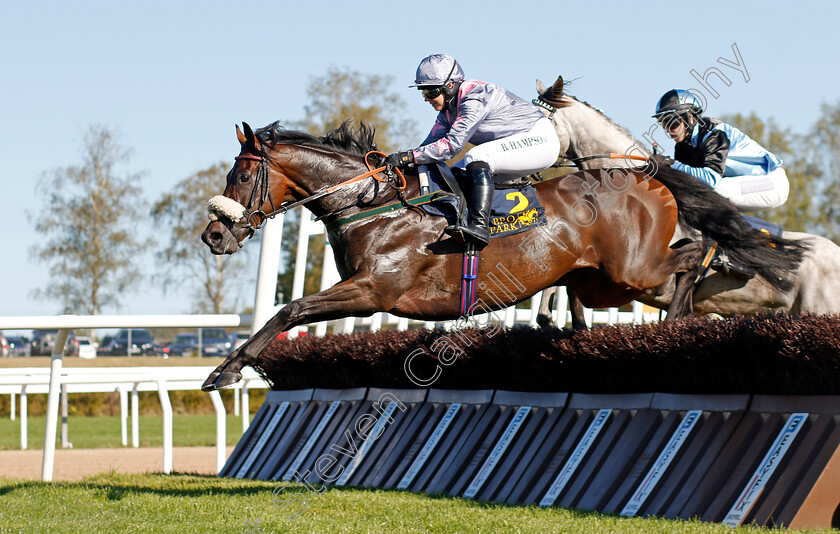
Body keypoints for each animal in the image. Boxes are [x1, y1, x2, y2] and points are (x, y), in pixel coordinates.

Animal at [199, 121, 808, 392]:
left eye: (243, 175)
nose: (214, 236)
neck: (372, 204)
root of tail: (647, 174)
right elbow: (290, 311)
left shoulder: (376, 290)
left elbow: (289, 310)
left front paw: (226, 370)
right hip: (601, 281)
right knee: (670, 264)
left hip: (630, 270)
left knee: (695, 253)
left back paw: (677, 322)